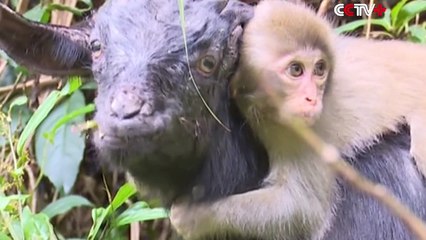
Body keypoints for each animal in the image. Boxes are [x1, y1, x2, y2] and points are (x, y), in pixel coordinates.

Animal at [170, 0, 426, 240]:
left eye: (319, 69)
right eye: (296, 70)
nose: (312, 99)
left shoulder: (303, 129)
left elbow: (302, 208)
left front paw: (194, 217)